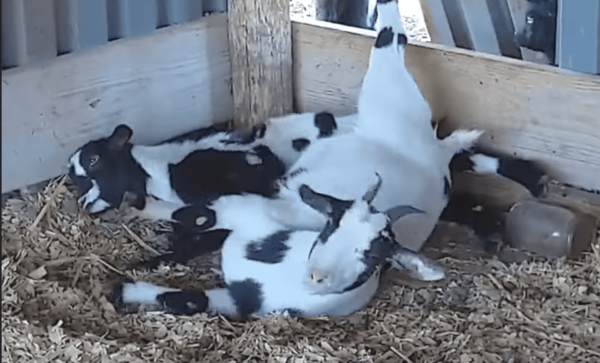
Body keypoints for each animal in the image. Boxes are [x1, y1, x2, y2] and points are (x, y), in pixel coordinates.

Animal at [111, 173, 422, 318]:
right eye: (331, 223)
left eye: (375, 254)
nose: (317, 275)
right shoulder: (244, 213)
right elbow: (196, 214)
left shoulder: (247, 303)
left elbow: (190, 300)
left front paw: (125, 290)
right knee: (197, 214)